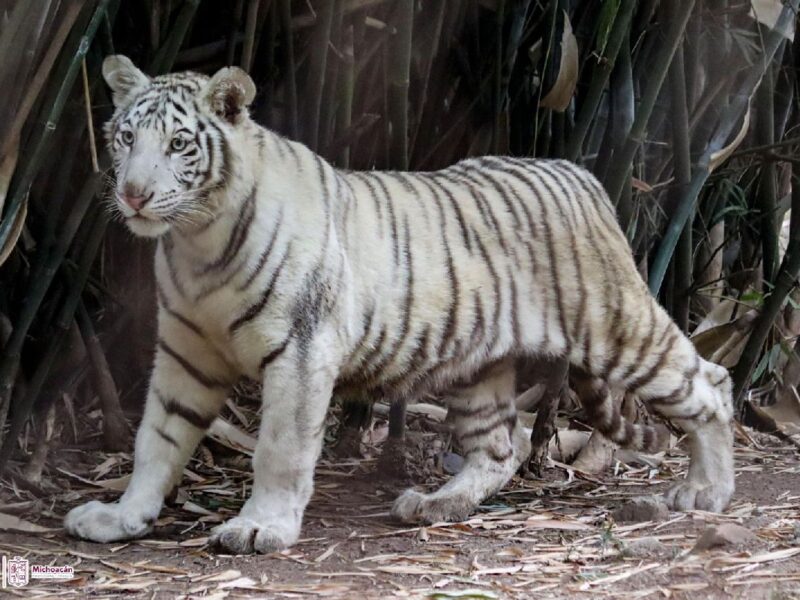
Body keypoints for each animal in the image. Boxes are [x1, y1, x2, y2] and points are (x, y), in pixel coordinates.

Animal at [65, 56, 736, 552]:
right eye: (126, 137)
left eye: (179, 143)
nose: (133, 193)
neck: (196, 243)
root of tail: (581, 174)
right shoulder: (185, 353)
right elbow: (156, 440)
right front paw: (121, 517)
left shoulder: (300, 352)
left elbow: (280, 449)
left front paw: (260, 528)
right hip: (477, 364)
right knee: (503, 447)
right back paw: (436, 504)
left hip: (619, 328)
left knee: (710, 382)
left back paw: (707, 491)